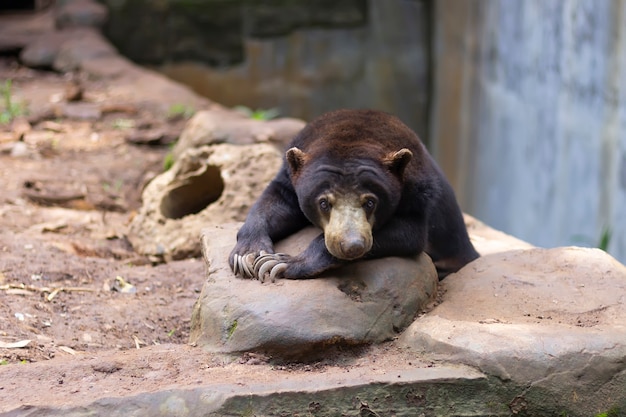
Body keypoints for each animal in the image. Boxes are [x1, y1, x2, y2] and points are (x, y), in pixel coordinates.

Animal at [229, 109, 478, 282]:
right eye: (323, 203)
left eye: (370, 202)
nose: (352, 245)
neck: (354, 134)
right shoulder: (288, 177)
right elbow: (274, 202)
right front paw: (247, 256)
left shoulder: (416, 194)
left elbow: (410, 233)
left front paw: (280, 263)